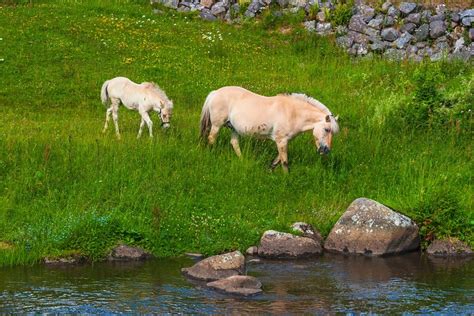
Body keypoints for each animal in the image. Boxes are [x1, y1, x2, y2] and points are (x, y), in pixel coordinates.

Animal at [198, 86, 338, 173]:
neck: (292, 112)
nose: (326, 150)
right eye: (327, 129)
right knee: (212, 138)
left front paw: (269, 171)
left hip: (234, 128)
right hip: (217, 125)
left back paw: (243, 161)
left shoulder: (284, 141)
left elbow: (278, 159)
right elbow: (284, 161)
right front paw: (286, 179)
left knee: (234, 143)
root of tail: (215, 92)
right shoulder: (281, 140)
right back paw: (211, 154)